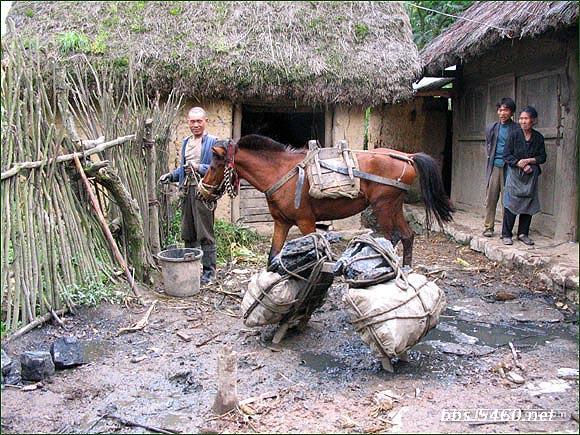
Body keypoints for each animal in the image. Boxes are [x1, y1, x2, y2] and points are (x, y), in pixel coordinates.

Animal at [198, 135, 454, 266]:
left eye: (214, 164)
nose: (202, 192)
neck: (281, 172)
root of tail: (407, 157)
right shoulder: (281, 223)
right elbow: (273, 256)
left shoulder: (305, 222)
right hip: (394, 206)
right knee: (407, 235)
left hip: (383, 206)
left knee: (392, 238)